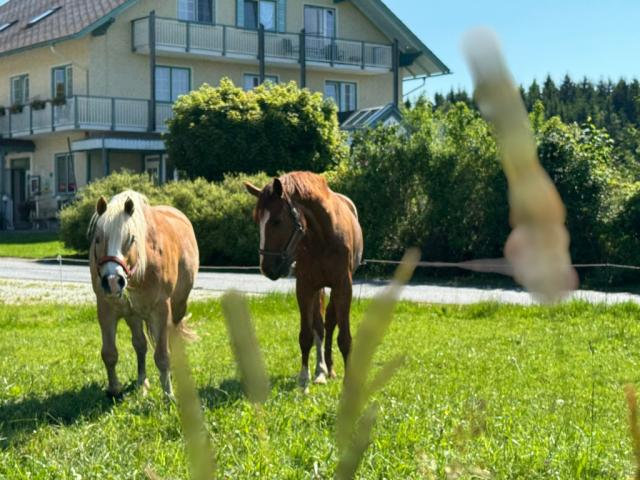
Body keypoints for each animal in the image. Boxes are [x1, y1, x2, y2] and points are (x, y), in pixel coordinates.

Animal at [88, 190, 199, 397]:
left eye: (130, 239)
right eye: (98, 239)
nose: (113, 281)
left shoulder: (161, 310)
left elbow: (162, 355)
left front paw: (168, 394)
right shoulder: (107, 309)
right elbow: (109, 353)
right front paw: (114, 389)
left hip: (178, 307)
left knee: (173, 337)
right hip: (133, 315)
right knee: (140, 345)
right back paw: (142, 382)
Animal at [245, 172, 363, 389]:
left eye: (276, 221)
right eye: (257, 221)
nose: (267, 268)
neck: (322, 238)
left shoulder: (343, 286)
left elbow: (344, 337)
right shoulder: (305, 286)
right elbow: (307, 334)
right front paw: (304, 377)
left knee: (329, 322)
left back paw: (329, 369)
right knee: (319, 326)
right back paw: (321, 371)